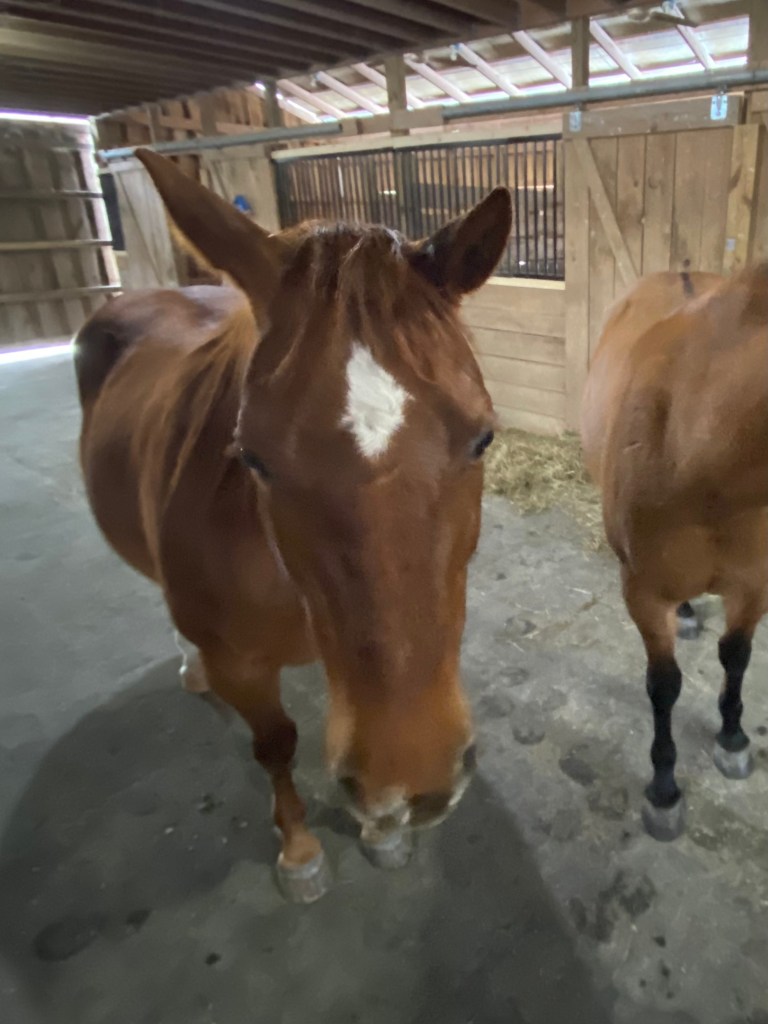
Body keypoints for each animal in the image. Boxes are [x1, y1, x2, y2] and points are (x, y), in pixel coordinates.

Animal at [74, 147, 512, 901]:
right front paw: (301, 850)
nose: (414, 777)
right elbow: (275, 743)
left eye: (483, 438)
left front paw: (383, 833)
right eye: (252, 457)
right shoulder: (242, 667)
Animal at [581, 266, 768, 840]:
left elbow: (737, 655)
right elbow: (663, 686)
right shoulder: (643, 592)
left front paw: (732, 736)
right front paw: (664, 790)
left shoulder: (754, 586)